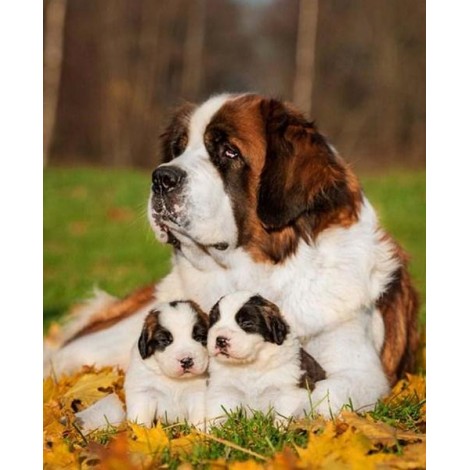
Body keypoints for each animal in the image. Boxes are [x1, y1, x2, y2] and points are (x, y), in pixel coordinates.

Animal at [124, 300, 208, 428]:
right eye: (165, 340)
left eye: (199, 337)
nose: (186, 360)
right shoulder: (144, 391)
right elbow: (140, 417)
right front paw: (141, 432)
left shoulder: (198, 392)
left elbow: (198, 417)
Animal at [206, 292, 326, 424]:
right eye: (214, 321)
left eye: (247, 323)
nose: (220, 340)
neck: (250, 365)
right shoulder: (223, 390)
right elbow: (217, 414)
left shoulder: (290, 391)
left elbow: (284, 415)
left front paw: (280, 428)